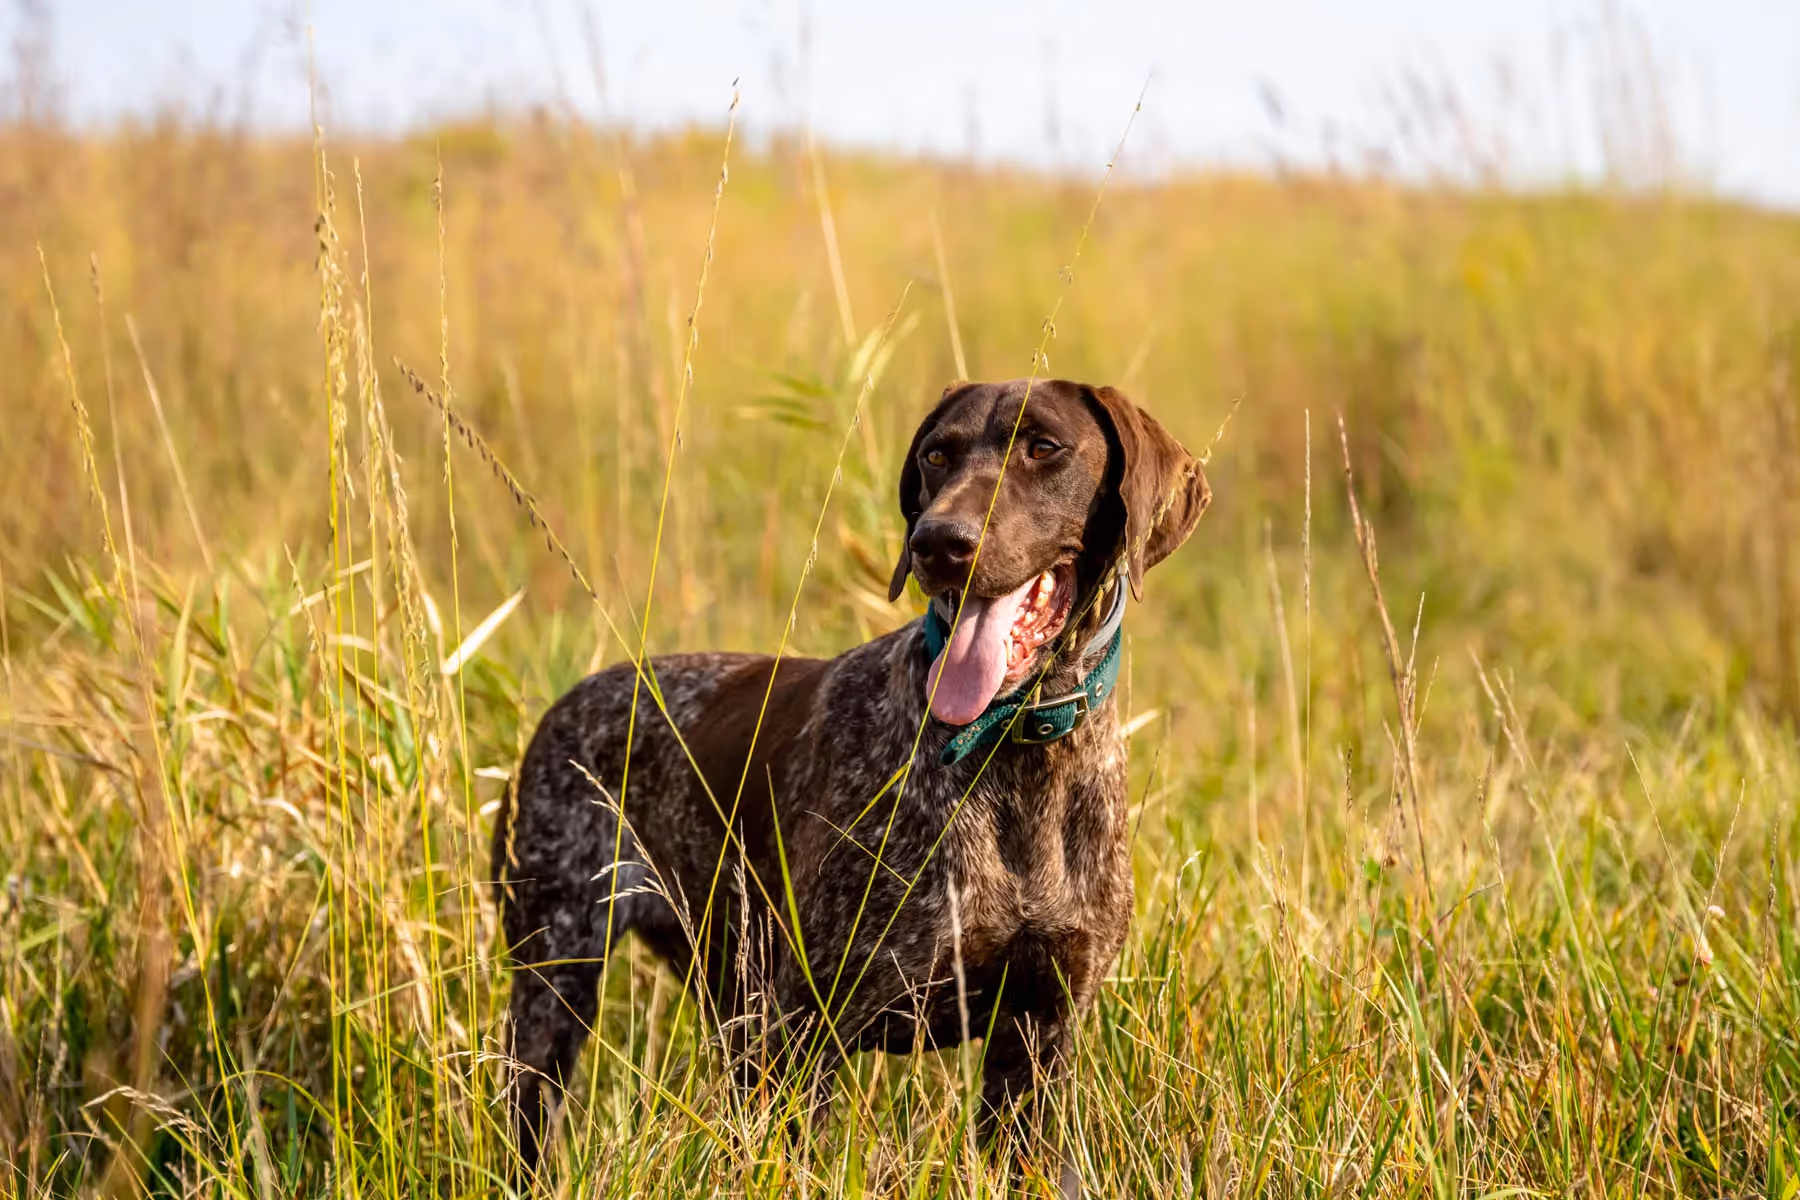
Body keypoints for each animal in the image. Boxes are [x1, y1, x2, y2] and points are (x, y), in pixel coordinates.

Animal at [494, 378, 1210, 1193]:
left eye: (1044, 447)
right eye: (937, 455)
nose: (939, 541)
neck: (1013, 754)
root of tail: (563, 707)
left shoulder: (1037, 1039)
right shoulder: (808, 1028)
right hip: (556, 993)